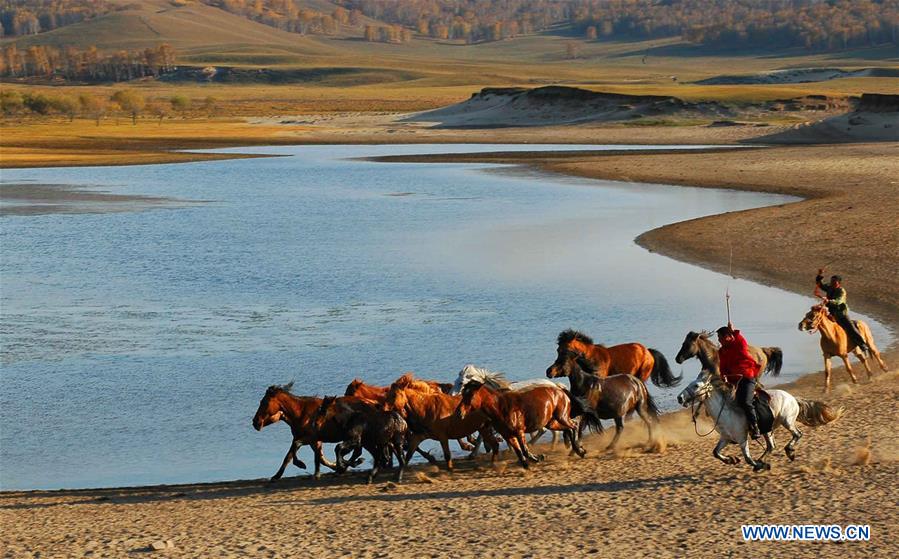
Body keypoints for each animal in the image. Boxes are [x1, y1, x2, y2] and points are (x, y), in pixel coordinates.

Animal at [458, 380, 596, 468]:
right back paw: (576, 448)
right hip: (551, 422)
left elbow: (524, 449)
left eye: (470, 395)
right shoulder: (509, 435)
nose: (459, 412)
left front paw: (537, 458)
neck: (501, 408)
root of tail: (560, 389)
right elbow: (519, 452)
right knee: (569, 429)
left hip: (562, 417)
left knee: (574, 426)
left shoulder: (519, 431)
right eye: (463, 395)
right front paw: (528, 463)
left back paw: (579, 449)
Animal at [548, 330, 684, 388]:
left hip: (642, 375)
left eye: (564, 351)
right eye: (558, 350)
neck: (591, 359)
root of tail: (648, 352)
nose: (549, 371)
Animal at [684, 372, 844, 472]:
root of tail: (793, 398)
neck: (726, 412)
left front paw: (761, 465)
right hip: (768, 429)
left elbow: (748, 458)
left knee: (797, 434)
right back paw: (765, 459)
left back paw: (788, 452)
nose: (680, 398)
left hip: (787, 421)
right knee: (771, 446)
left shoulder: (742, 439)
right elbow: (716, 453)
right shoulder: (726, 438)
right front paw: (732, 460)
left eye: (696, 386)